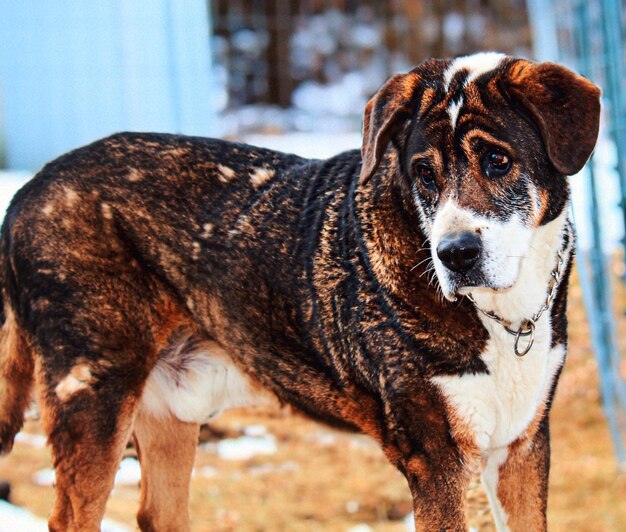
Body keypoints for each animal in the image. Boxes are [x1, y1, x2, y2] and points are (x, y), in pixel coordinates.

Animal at [0, 51, 600, 532]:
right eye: (424, 175)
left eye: (498, 160)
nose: (455, 254)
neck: (505, 316)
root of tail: (26, 192)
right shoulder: (437, 459)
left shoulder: (524, 447)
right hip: (93, 394)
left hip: (169, 414)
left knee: (158, 512)